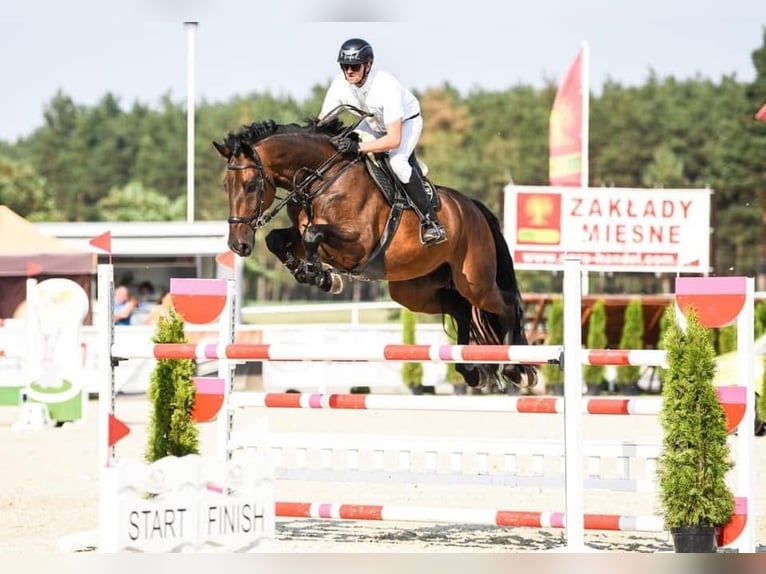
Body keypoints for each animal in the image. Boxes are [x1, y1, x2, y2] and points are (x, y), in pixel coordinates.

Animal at [213, 115, 540, 394]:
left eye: (250, 185)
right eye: (225, 185)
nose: (238, 245)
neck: (321, 179)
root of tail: (473, 207)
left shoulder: (358, 242)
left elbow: (313, 235)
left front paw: (322, 276)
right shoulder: (302, 230)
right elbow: (278, 239)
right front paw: (309, 273)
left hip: (475, 281)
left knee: (507, 305)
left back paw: (517, 369)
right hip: (413, 290)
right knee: (460, 308)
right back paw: (470, 370)